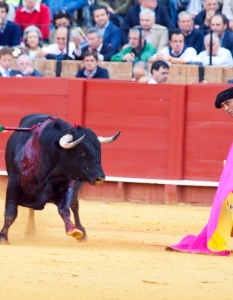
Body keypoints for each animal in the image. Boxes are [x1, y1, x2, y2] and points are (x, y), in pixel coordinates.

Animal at [0, 113, 120, 245]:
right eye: (81, 152)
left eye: (99, 151)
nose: (100, 178)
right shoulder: (13, 184)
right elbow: (11, 212)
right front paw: (3, 237)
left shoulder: (66, 186)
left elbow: (64, 209)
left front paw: (73, 230)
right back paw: (30, 231)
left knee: (74, 206)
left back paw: (81, 232)